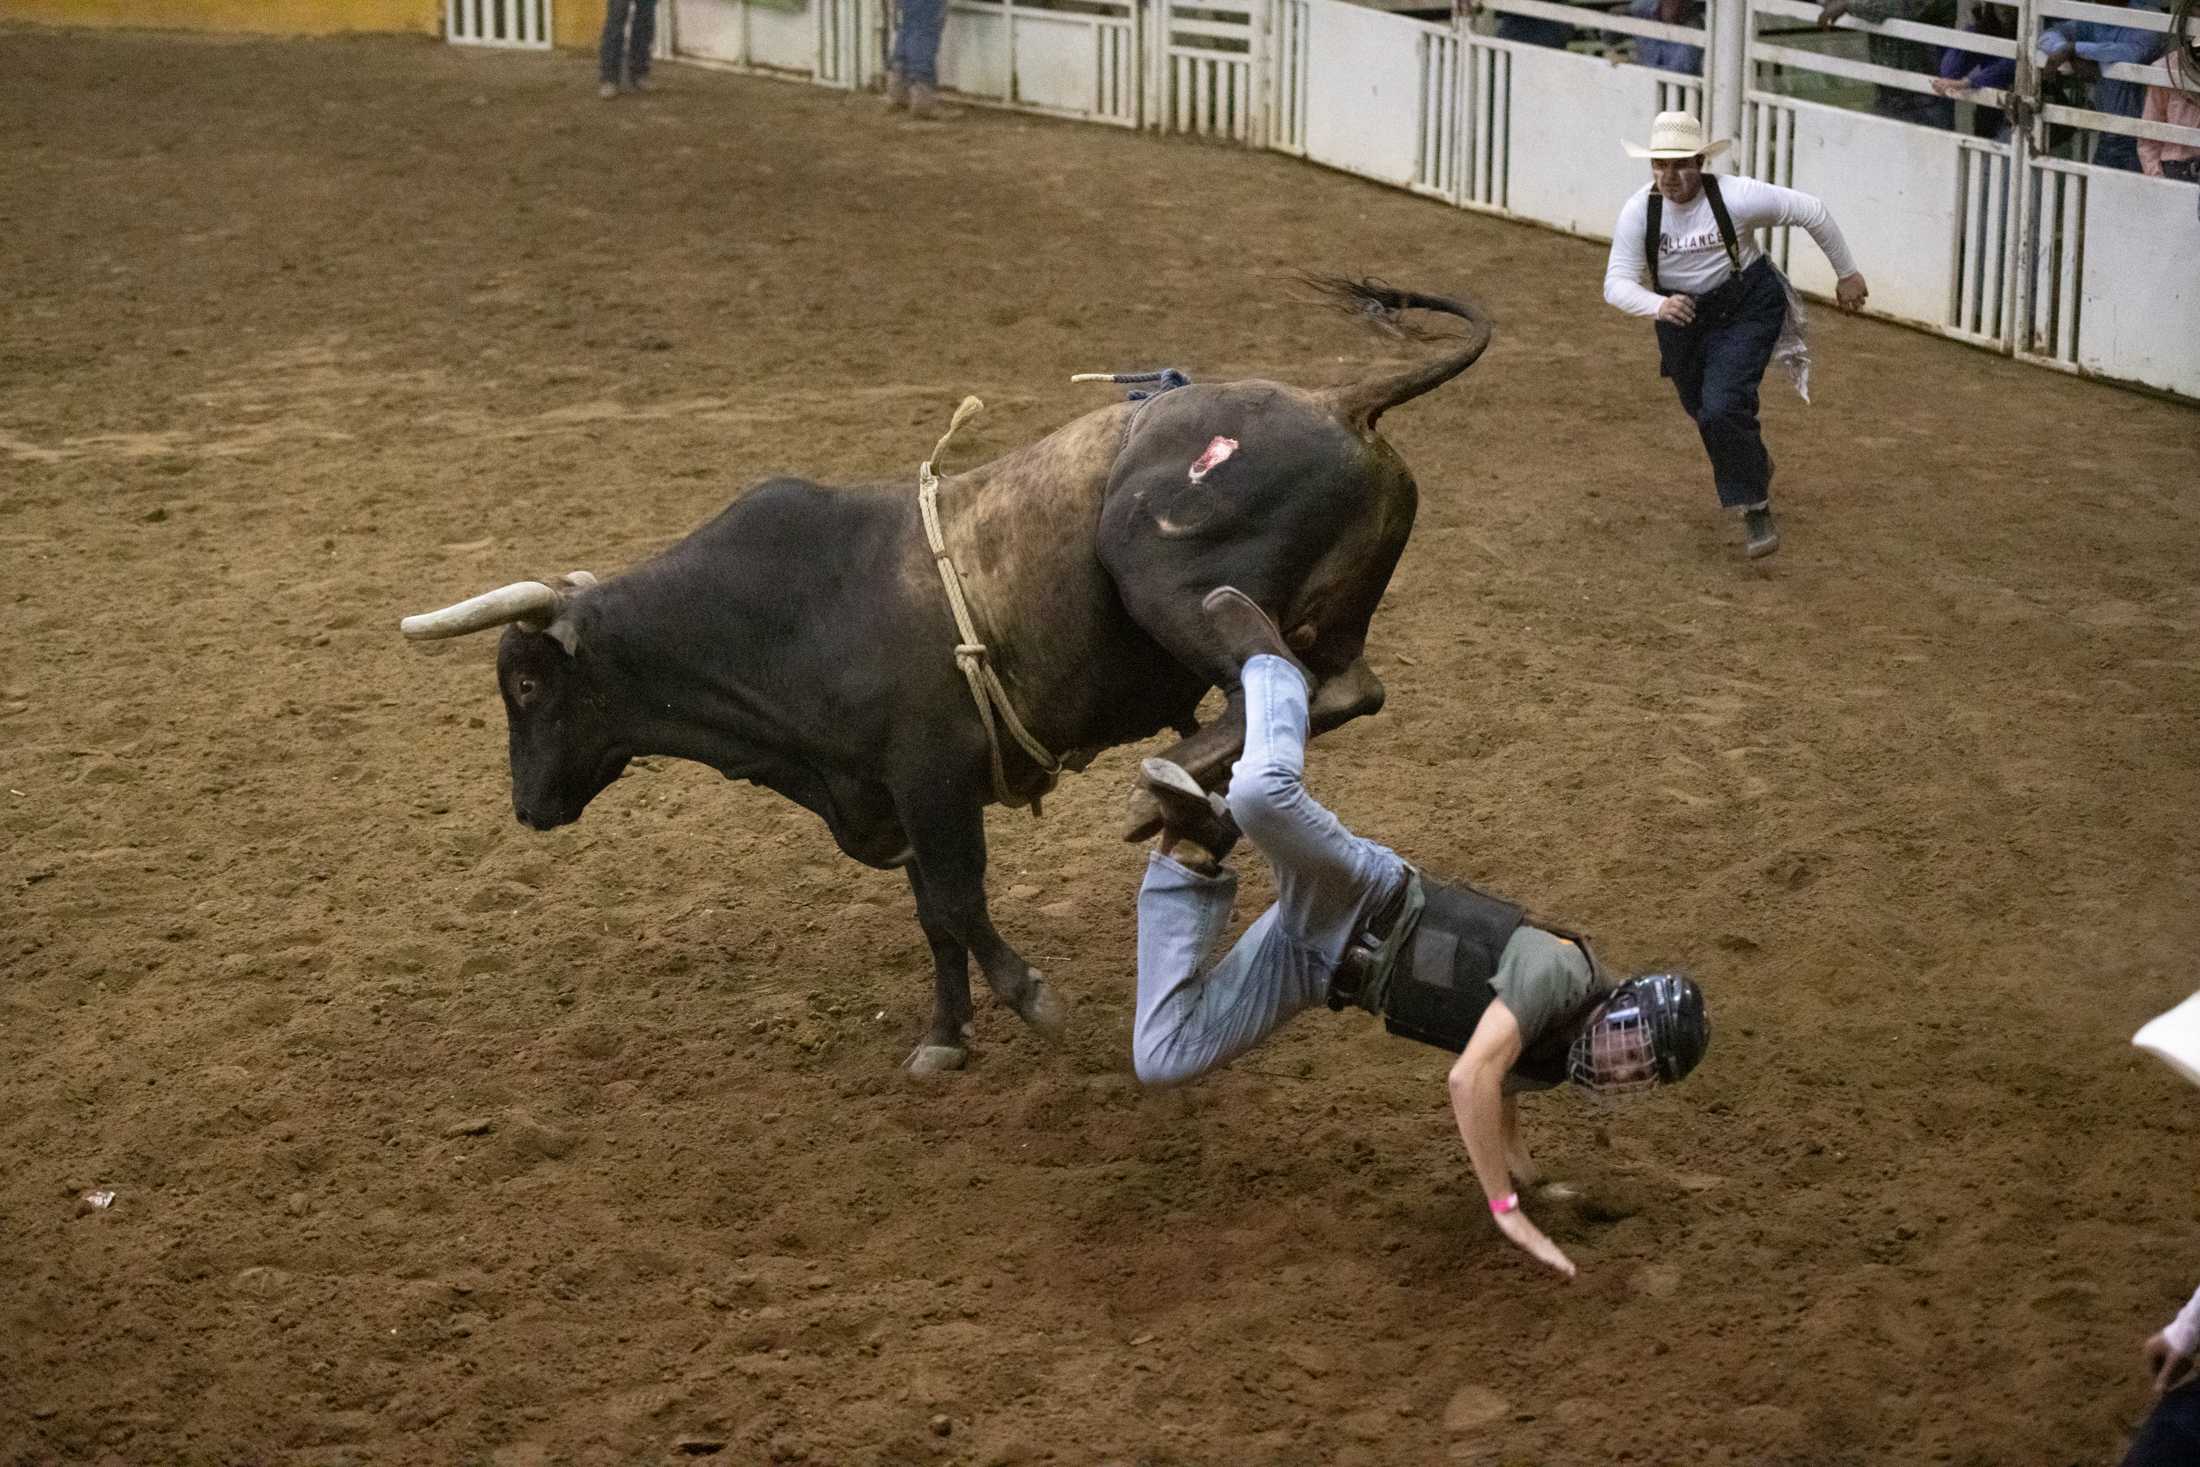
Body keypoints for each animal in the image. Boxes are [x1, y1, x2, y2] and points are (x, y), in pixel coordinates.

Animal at [398, 281, 1496, 1073]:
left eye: (527, 688)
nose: (528, 806)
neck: (787, 613)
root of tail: (1338, 400)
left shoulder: (933, 775)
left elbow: (962, 902)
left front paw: (1030, 996)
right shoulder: (894, 794)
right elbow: (933, 916)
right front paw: (944, 1035)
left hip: (1164, 569)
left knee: (1286, 678)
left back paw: (1167, 786)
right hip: (1319, 607)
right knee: (1343, 684)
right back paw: (1186, 792)